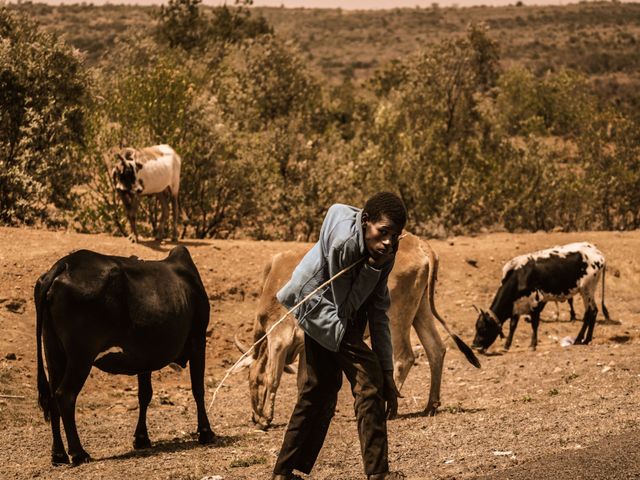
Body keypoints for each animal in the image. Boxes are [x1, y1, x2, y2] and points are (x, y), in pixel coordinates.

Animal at [35, 248, 215, 464]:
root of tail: (64, 264)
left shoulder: (145, 356)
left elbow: (144, 395)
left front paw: (141, 438)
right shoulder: (198, 339)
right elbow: (198, 389)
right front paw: (206, 432)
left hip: (53, 352)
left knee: (52, 397)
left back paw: (59, 454)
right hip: (81, 356)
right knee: (65, 395)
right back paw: (79, 453)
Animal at [236, 234, 480, 430]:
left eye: (252, 382)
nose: (254, 418)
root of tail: (420, 243)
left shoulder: (279, 339)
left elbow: (272, 377)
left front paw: (266, 417)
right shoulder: (306, 346)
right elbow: (302, 382)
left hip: (394, 314)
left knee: (404, 357)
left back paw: (389, 408)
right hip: (420, 309)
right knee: (435, 349)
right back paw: (431, 405)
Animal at [472, 240, 608, 352]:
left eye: (483, 328)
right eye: (476, 327)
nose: (474, 346)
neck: (519, 276)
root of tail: (598, 253)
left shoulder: (536, 302)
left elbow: (534, 324)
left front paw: (533, 345)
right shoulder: (516, 306)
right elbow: (513, 325)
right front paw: (506, 345)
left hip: (587, 290)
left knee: (590, 312)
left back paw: (580, 339)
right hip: (587, 291)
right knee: (592, 312)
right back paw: (586, 339)